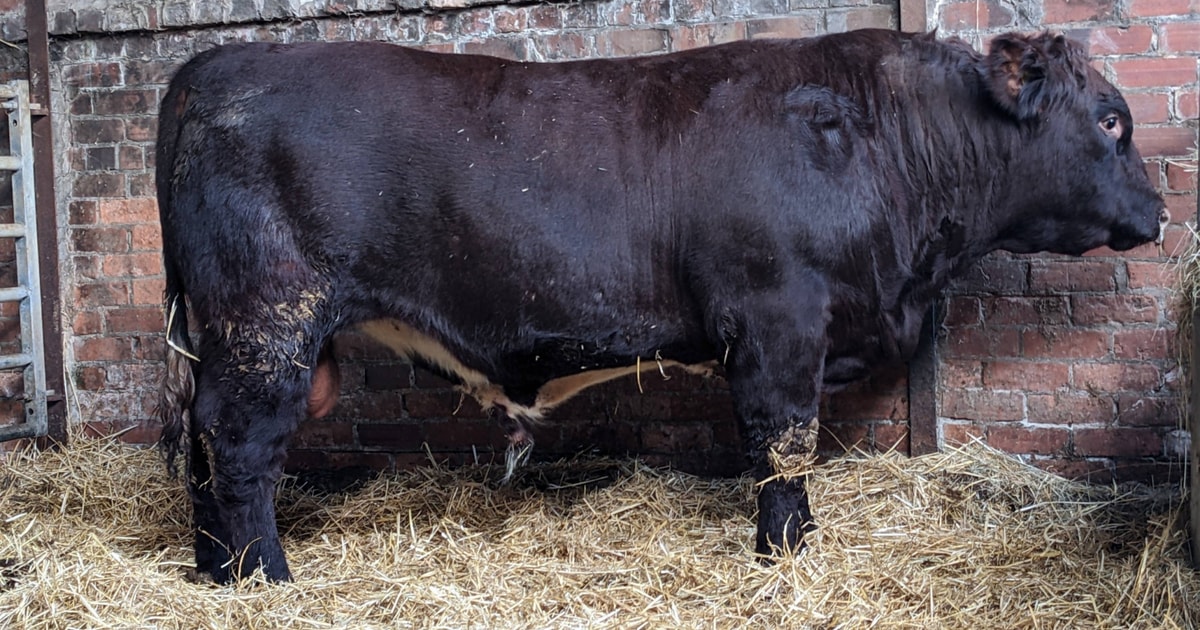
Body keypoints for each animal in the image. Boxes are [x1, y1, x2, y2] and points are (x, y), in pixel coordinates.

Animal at [157, 29, 1167, 583]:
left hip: (228, 337)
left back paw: (215, 572)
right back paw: (265, 579)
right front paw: (787, 554)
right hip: (267, 322)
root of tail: (212, 62)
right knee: (240, 447)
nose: (1160, 213)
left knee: (204, 444)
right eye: (1111, 120)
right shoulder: (777, 323)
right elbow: (781, 445)